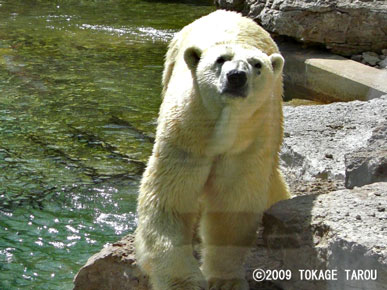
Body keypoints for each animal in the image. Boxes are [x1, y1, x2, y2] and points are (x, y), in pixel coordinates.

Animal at [135, 10, 290, 290]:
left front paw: (225, 281)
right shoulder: (186, 136)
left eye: (257, 65)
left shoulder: (247, 145)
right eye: (221, 60)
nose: (237, 76)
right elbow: (171, 201)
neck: (222, 131)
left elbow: (231, 208)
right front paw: (183, 282)